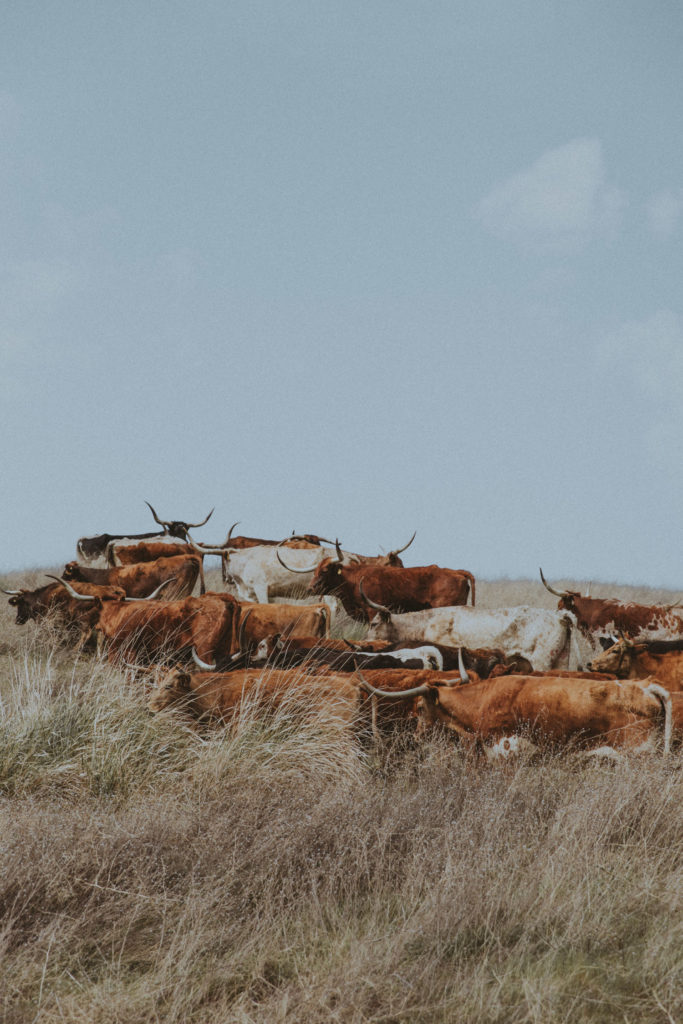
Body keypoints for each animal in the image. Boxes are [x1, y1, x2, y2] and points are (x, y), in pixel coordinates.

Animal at [365, 605, 576, 671]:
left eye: (374, 624)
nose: (366, 642)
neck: (427, 622)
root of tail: (559, 616)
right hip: (561, 661)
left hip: (542, 662)